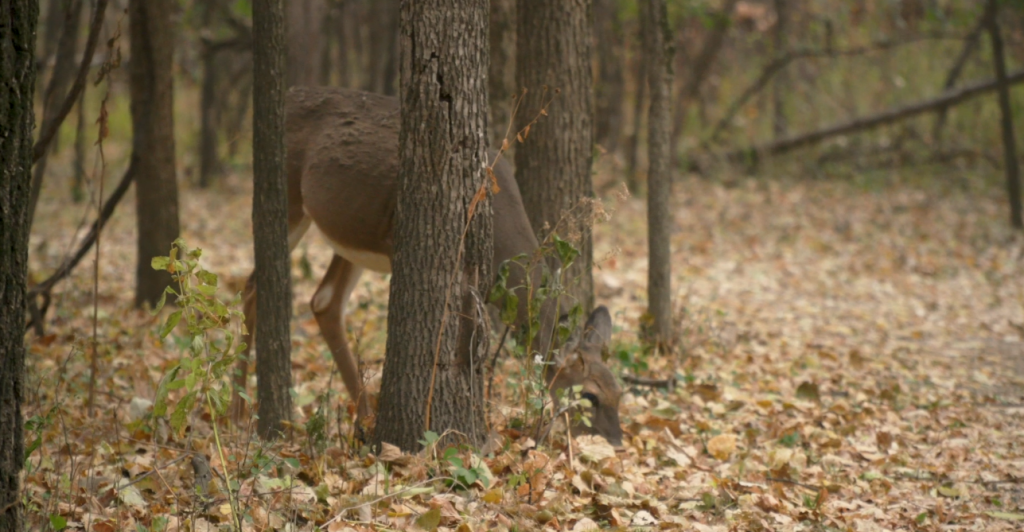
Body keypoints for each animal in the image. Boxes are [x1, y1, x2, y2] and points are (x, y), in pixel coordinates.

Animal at [230, 86, 624, 446]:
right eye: (590, 395)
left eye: (620, 393)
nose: (617, 443)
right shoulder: (401, 245)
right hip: (288, 198)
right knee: (254, 287)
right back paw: (238, 412)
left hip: (353, 231)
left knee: (324, 301)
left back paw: (365, 421)